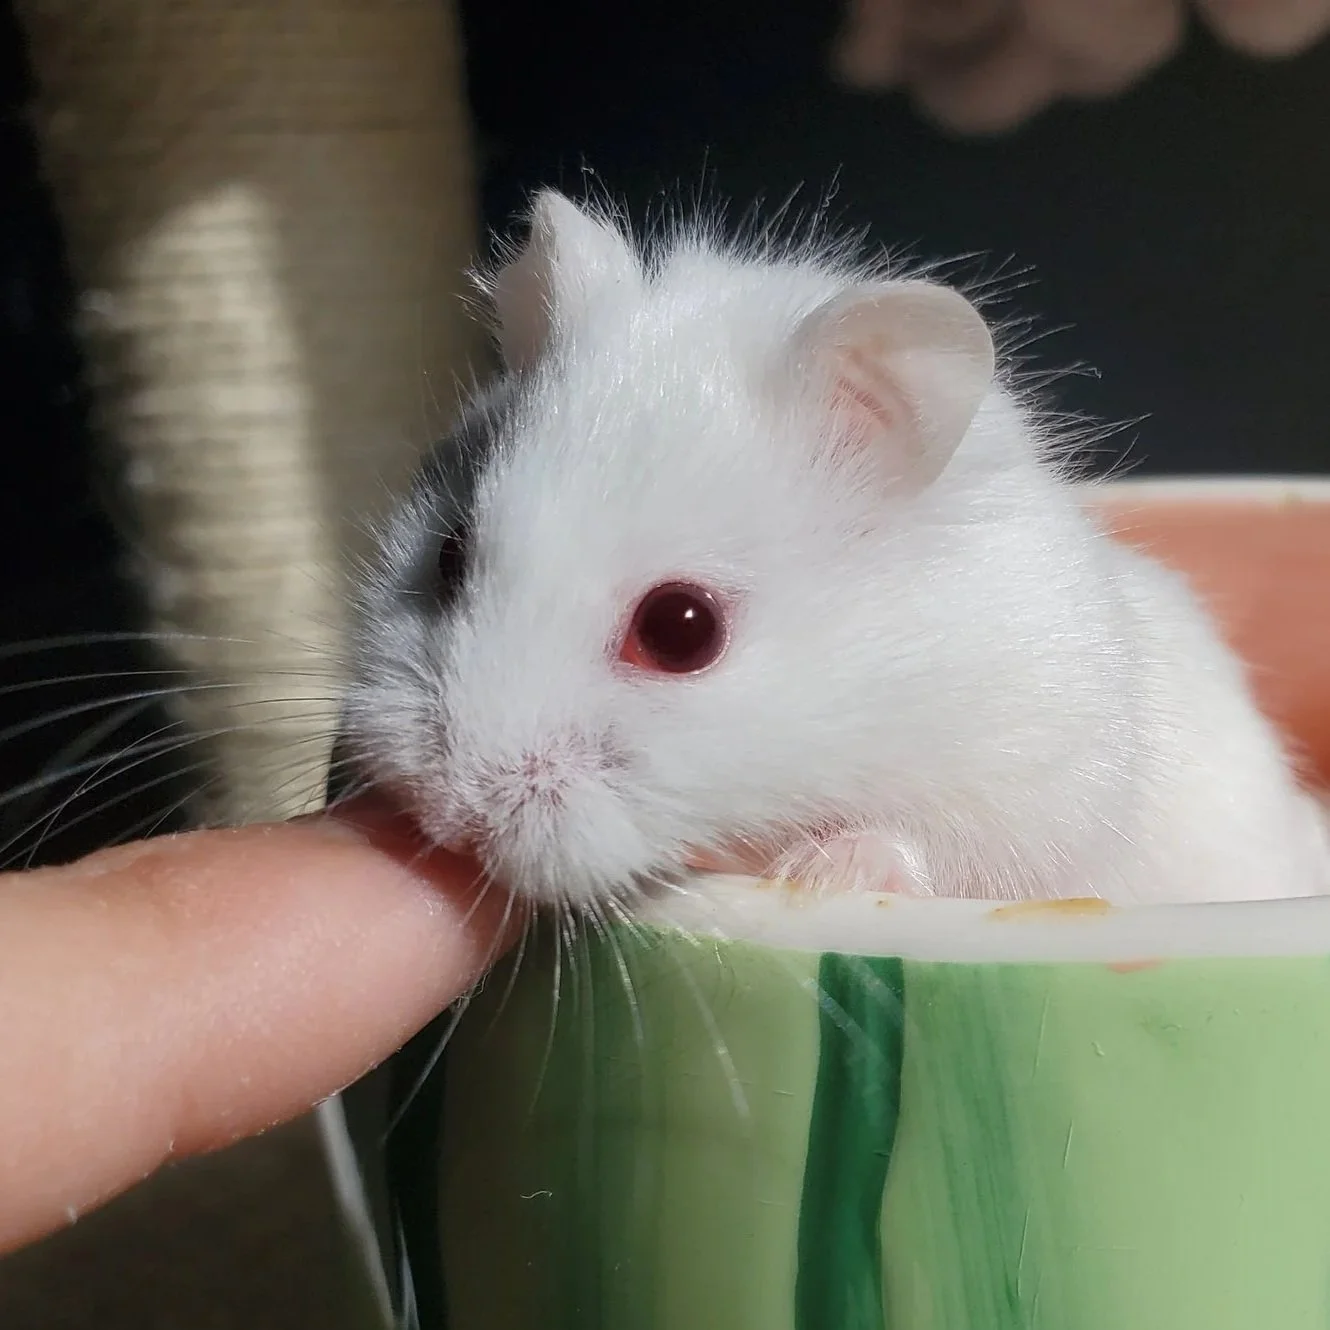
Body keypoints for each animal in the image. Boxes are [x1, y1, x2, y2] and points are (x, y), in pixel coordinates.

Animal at [341, 188, 1330, 908]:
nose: (451, 818)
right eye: (450, 555)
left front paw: (817, 875)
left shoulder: (1034, 788)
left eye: (681, 629)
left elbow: (926, 846)